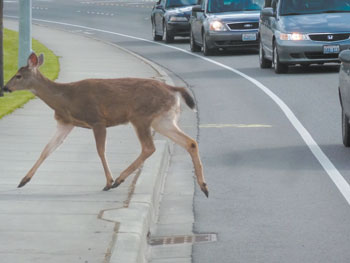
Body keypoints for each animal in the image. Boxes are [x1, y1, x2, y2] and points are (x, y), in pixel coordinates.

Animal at [2, 52, 209, 198]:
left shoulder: (97, 120)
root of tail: (173, 89)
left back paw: (118, 179)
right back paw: (204, 186)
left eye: (18, 75)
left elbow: (100, 151)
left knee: (149, 147)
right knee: (190, 142)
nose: (5, 87)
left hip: (141, 116)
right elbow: (46, 150)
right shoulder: (66, 123)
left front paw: (108, 181)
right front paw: (23, 180)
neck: (66, 99)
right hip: (162, 120)